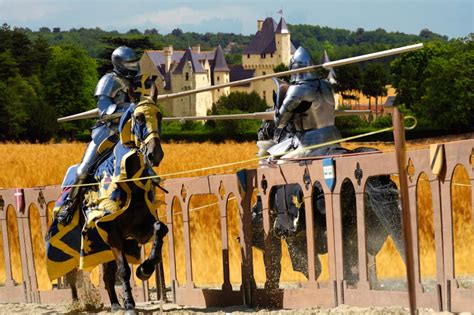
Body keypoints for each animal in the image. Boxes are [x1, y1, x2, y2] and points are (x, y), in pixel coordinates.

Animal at [46, 79, 168, 312]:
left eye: (159, 116)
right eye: (139, 117)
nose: (154, 154)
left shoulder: (139, 229)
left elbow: (160, 228)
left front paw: (145, 269)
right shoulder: (109, 229)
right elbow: (123, 269)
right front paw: (129, 303)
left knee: (107, 276)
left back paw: (114, 304)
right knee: (74, 275)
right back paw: (78, 303)